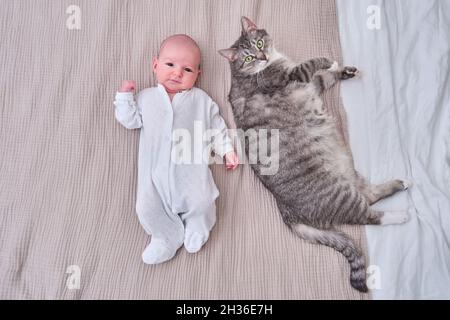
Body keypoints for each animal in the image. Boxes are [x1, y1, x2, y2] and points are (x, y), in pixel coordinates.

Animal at [219, 17, 412, 292]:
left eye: (258, 44)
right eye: (247, 58)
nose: (262, 56)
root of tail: (287, 212)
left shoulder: (310, 83)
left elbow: (324, 77)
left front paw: (343, 70)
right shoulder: (289, 77)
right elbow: (312, 64)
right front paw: (329, 61)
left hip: (348, 171)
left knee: (371, 194)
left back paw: (400, 183)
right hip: (339, 194)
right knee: (367, 215)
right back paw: (400, 215)